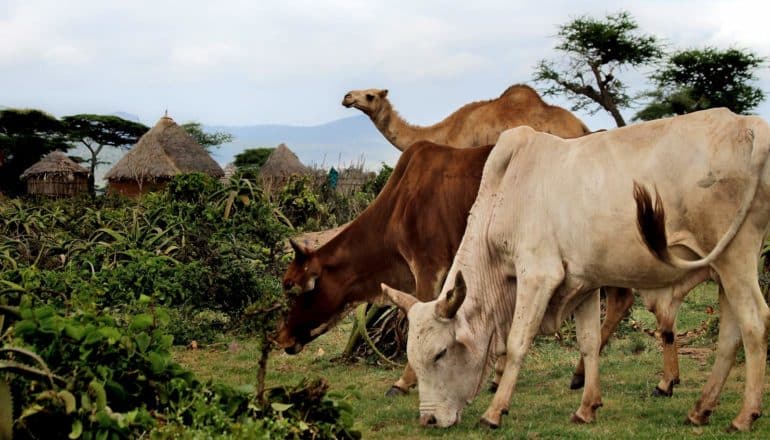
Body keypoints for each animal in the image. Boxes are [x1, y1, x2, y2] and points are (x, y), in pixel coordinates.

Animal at [382, 108, 768, 432]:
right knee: (730, 335)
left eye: (440, 353)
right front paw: (587, 407)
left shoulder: (538, 275)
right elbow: (589, 342)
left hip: (735, 257)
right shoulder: (583, 284)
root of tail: (749, 125)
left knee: (754, 324)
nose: (429, 419)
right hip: (723, 268)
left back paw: (744, 415)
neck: (505, 193)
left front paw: (494, 412)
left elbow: (518, 342)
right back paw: (701, 409)